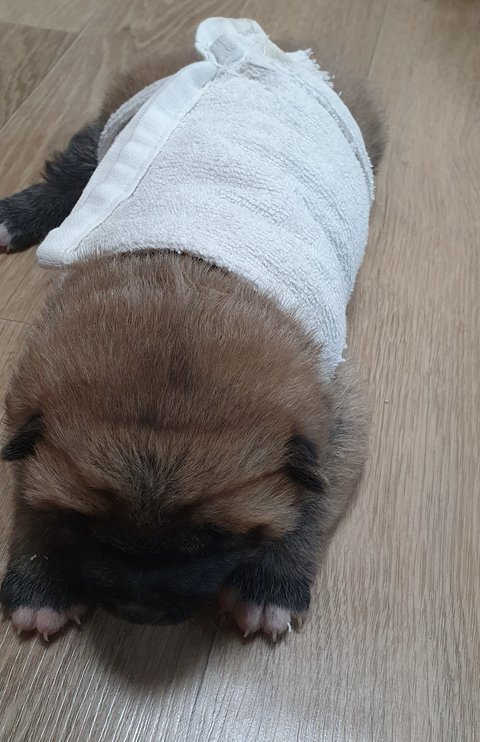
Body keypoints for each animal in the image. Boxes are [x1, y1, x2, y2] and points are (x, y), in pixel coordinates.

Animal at [0, 20, 384, 641]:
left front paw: (269, 586)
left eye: (213, 538)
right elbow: (31, 495)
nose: (137, 612)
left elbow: (313, 502)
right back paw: (17, 215)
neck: (180, 297)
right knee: (78, 161)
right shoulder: (26, 409)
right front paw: (41, 582)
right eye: (87, 525)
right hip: (120, 118)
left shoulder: (339, 409)